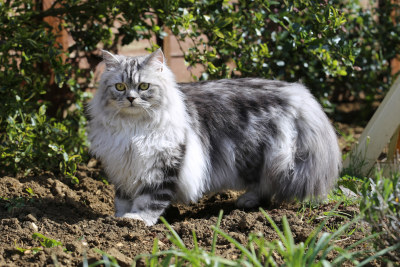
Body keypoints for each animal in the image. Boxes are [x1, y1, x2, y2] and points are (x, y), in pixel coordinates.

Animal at [86, 48, 340, 226]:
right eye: (120, 86)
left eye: (144, 86)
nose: (130, 98)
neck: (133, 128)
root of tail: (295, 93)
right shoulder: (123, 166)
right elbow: (122, 199)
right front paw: (117, 218)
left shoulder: (163, 165)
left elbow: (149, 201)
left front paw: (136, 221)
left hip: (258, 157)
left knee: (263, 183)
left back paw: (247, 201)